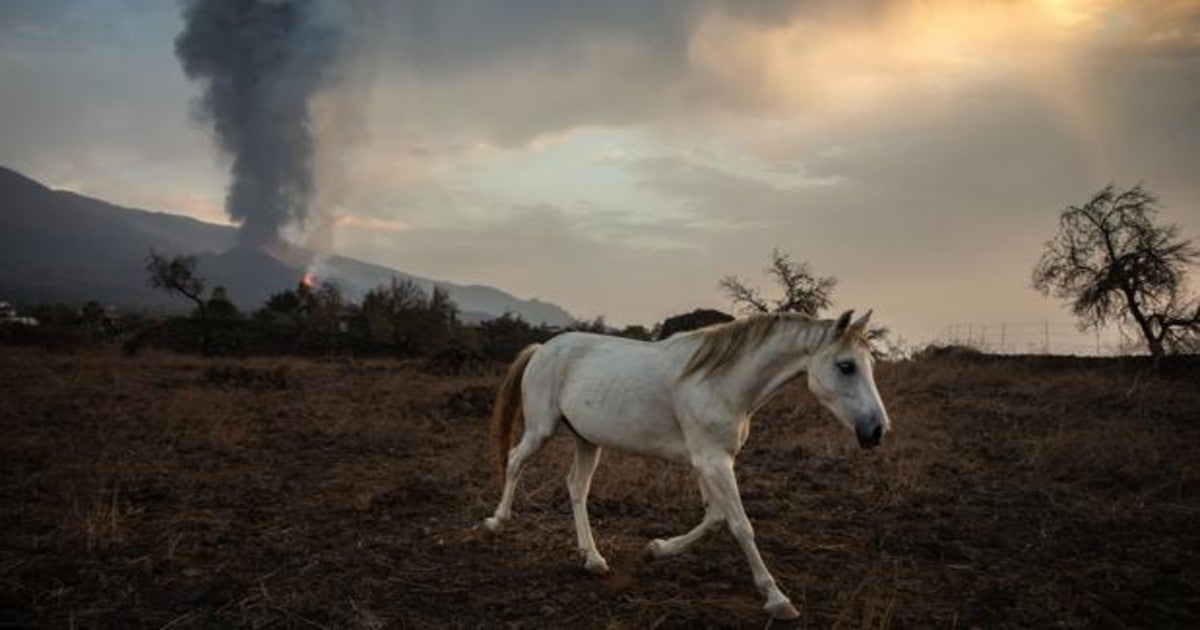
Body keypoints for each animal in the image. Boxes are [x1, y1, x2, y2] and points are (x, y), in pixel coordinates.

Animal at [480, 309, 892, 619]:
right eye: (846, 366)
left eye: (869, 363)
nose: (877, 430)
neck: (721, 382)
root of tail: (542, 349)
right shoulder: (712, 462)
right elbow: (740, 525)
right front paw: (777, 599)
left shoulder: (709, 461)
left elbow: (715, 516)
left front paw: (658, 548)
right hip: (541, 429)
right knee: (515, 462)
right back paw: (495, 523)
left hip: (587, 440)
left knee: (576, 487)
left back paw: (593, 559)